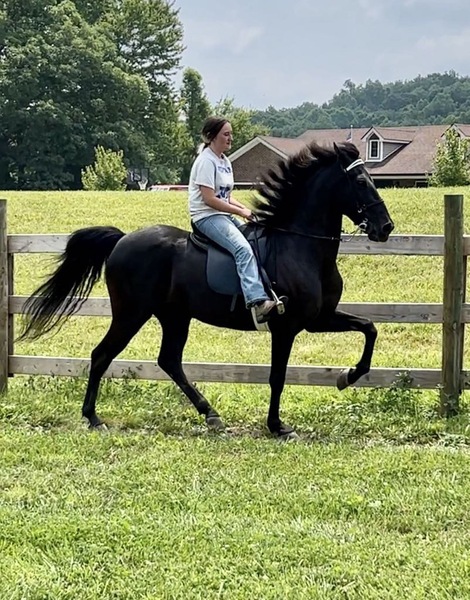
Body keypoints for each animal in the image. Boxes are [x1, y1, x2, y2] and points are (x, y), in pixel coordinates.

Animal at [18, 143, 392, 438]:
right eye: (361, 182)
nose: (385, 228)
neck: (299, 247)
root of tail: (123, 239)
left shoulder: (318, 318)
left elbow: (369, 329)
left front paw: (348, 376)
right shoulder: (286, 327)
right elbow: (277, 377)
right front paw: (277, 426)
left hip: (173, 316)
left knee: (168, 360)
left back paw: (209, 413)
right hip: (131, 313)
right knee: (102, 355)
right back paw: (93, 417)